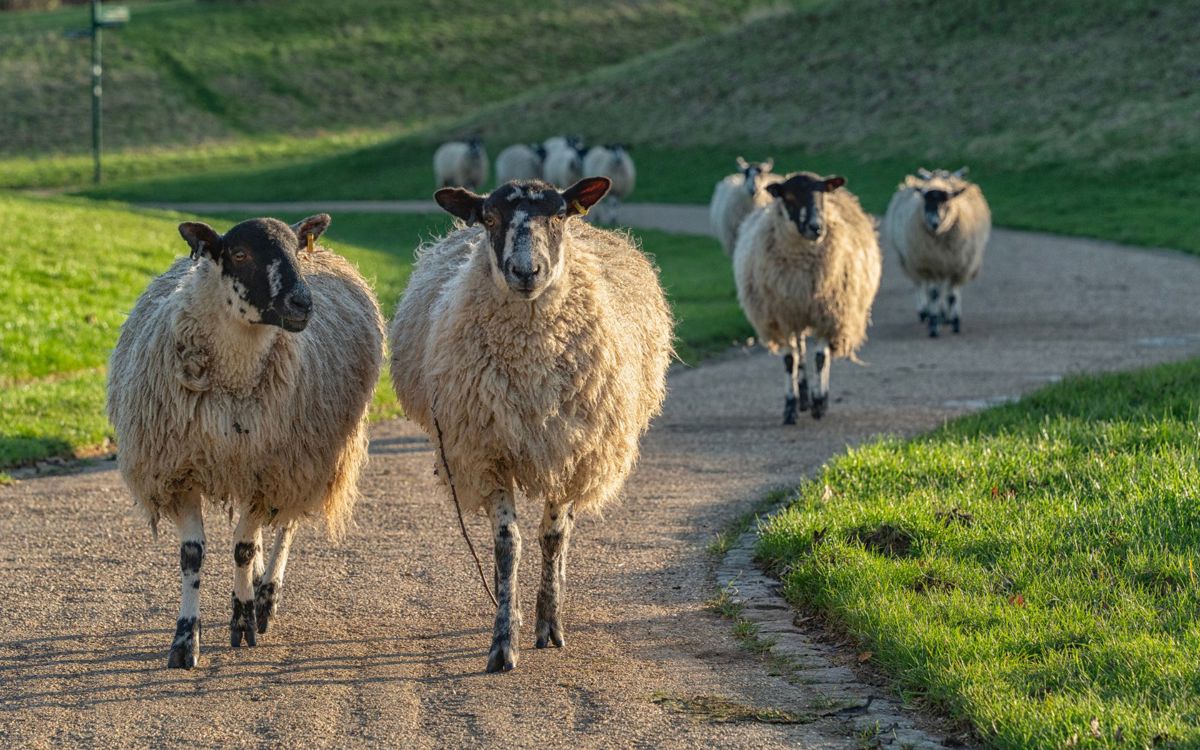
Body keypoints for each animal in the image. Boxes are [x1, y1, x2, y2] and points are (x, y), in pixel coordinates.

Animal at [107, 214, 384, 669]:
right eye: (239, 254)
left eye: (295, 249)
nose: (302, 304)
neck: (235, 376)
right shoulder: (181, 471)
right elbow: (193, 555)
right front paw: (185, 640)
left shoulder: (268, 472)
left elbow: (240, 547)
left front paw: (243, 619)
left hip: (305, 459)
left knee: (282, 527)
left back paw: (265, 597)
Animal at [389, 177, 673, 673]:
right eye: (489, 217)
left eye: (558, 215)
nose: (526, 271)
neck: (530, 360)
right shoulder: (488, 454)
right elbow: (508, 546)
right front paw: (504, 640)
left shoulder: (569, 450)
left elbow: (552, 538)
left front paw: (550, 626)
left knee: (563, 532)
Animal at [734, 172, 881, 423]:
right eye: (790, 197)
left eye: (821, 194)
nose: (816, 227)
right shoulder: (782, 317)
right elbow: (790, 360)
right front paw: (790, 407)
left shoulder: (826, 313)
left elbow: (821, 358)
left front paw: (819, 403)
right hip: (796, 315)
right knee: (800, 353)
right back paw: (803, 397)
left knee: (821, 354)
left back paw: (818, 398)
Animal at [880, 167, 991, 336]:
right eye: (926, 202)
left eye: (946, 202)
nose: (934, 223)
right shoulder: (930, 264)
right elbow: (933, 293)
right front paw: (934, 324)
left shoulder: (958, 265)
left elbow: (951, 295)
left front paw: (954, 321)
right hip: (910, 260)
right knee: (921, 284)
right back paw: (925, 312)